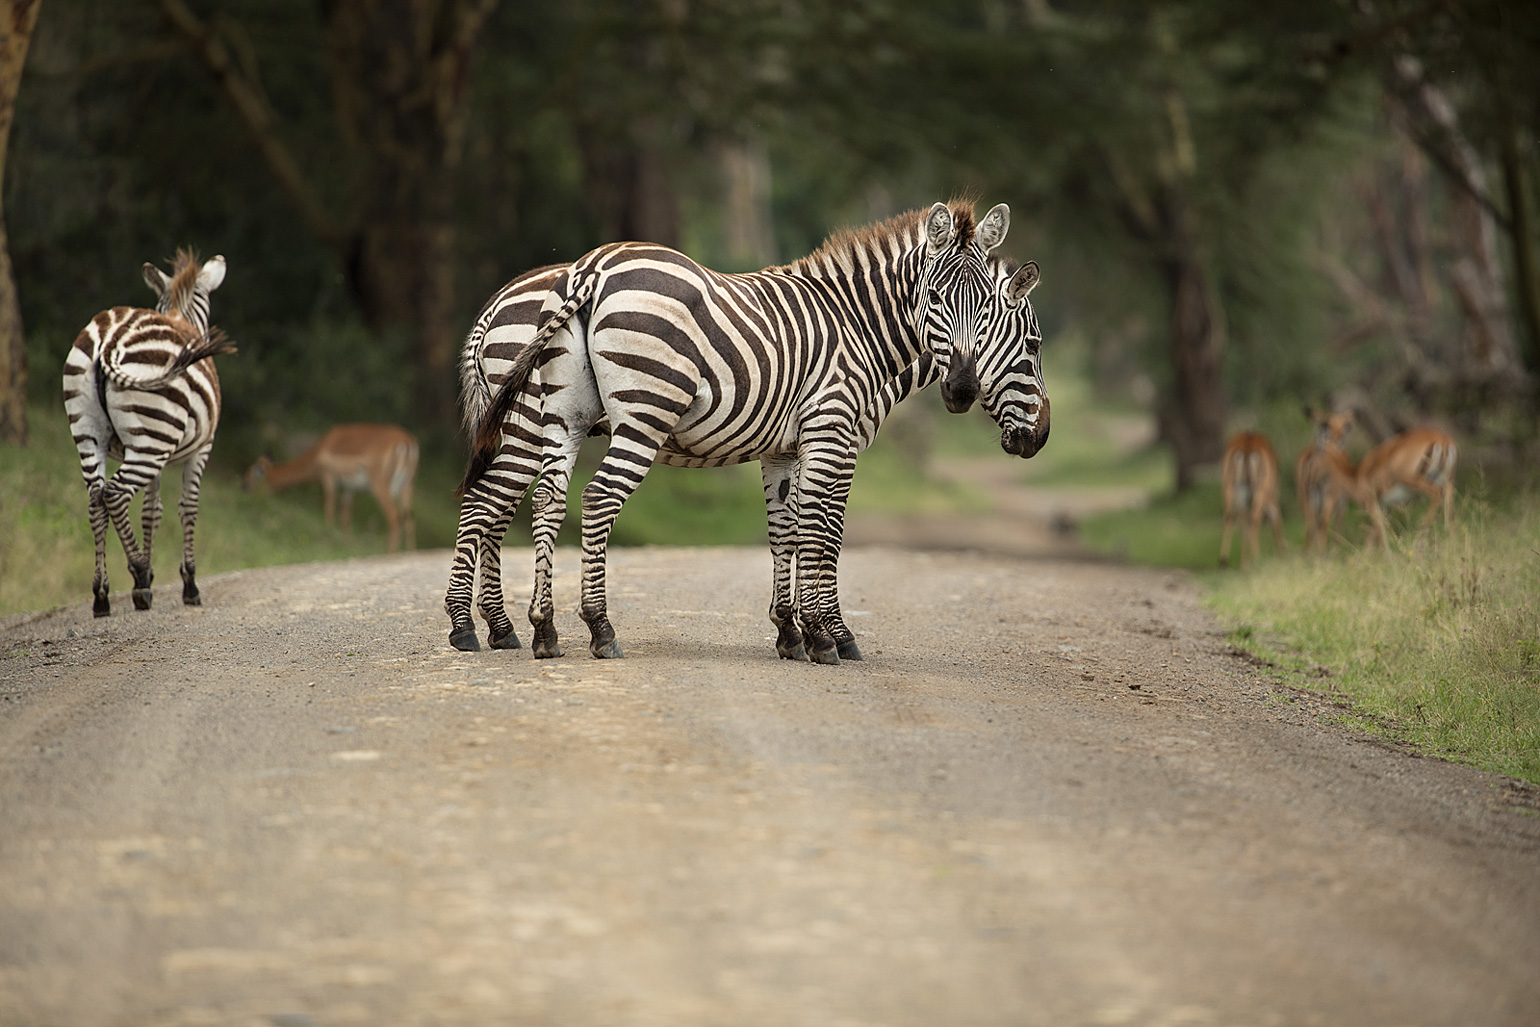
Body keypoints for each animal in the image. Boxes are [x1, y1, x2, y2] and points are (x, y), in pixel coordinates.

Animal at [61, 252, 235, 615]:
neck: (180, 314)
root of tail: (110, 338)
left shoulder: (159, 453)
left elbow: (151, 511)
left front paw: (153, 574)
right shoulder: (202, 448)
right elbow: (188, 506)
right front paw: (189, 584)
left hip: (96, 434)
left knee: (95, 499)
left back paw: (102, 595)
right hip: (150, 442)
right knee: (114, 494)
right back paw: (139, 575)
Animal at [446, 200, 1047, 662]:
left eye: (987, 308)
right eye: (1033, 343)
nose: (961, 391)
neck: (860, 326)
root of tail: (587, 269)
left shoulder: (783, 449)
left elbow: (786, 531)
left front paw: (790, 633)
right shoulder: (834, 435)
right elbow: (824, 533)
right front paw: (831, 637)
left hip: (560, 417)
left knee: (533, 502)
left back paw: (531, 631)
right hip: (631, 412)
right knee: (569, 501)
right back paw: (579, 628)